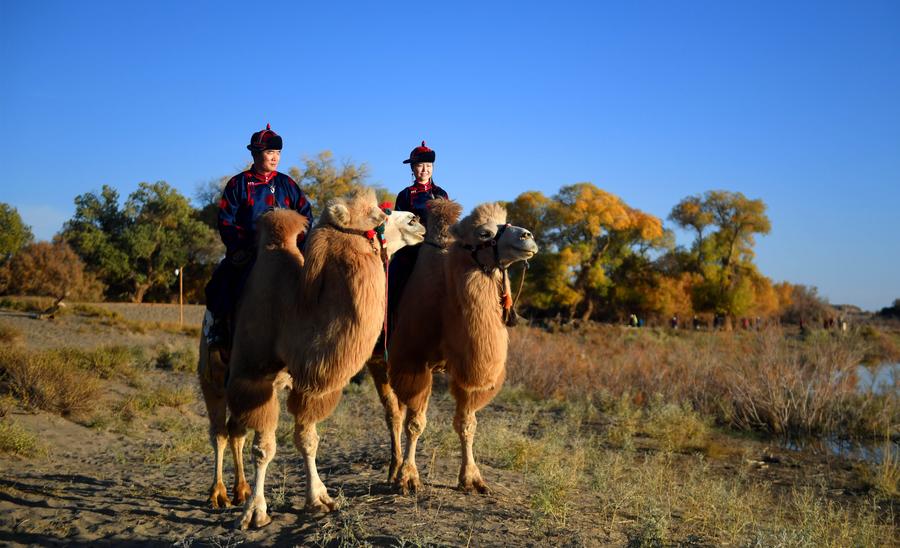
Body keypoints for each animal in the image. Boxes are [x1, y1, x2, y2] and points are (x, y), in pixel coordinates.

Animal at [199, 192, 424, 524]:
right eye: (377, 216)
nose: (415, 221)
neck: (293, 316)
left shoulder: (305, 383)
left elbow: (308, 440)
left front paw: (318, 498)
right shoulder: (253, 378)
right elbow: (264, 448)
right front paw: (256, 512)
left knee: (235, 431)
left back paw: (240, 489)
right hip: (213, 372)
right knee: (219, 432)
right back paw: (219, 494)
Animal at [370, 200, 536, 492]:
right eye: (484, 233)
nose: (527, 236)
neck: (445, 301)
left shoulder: (467, 370)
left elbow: (467, 423)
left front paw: (472, 479)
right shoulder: (413, 362)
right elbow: (415, 423)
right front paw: (409, 477)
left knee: (396, 411)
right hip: (379, 360)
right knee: (393, 414)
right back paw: (394, 469)